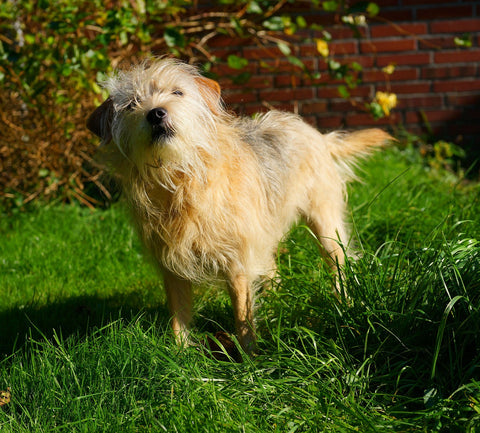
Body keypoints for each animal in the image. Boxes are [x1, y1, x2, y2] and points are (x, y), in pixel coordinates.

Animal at [88, 57, 392, 354]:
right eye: (132, 104)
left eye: (177, 92)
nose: (156, 113)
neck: (180, 178)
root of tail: (317, 135)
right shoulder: (172, 265)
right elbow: (178, 315)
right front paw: (179, 354)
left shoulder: (237, 261)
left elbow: (242, 314)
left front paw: (249, 357)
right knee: (272, 270)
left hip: (325, 225)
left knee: (338, 264)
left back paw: (343, 304)